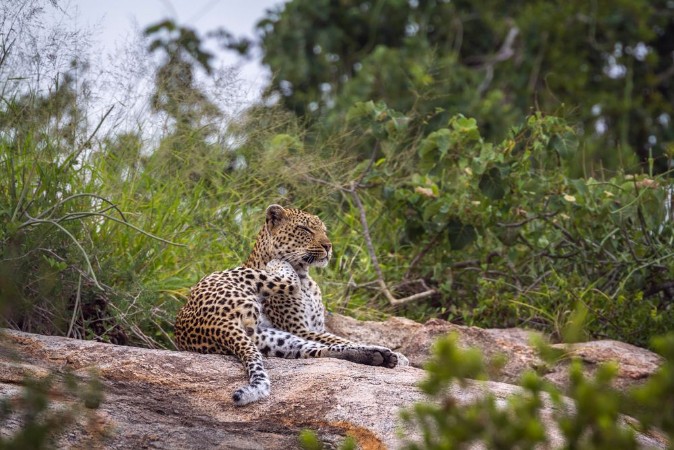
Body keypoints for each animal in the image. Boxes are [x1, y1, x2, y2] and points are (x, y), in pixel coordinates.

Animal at [174, 204, 408, 406]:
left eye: (324, 230)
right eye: (304, 229)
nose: (328, 246)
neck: (306, 277)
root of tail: (215, 323)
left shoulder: (311, 328)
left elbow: (341, 339)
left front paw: (400, 355)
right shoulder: (298, 327)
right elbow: (341, 338)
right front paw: (402, 356)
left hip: (272, 340)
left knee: (319, 351)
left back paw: (379, 356)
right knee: (289, 285)